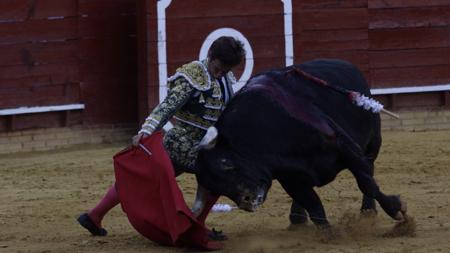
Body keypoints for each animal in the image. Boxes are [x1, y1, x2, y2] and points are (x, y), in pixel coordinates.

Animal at [192, 58, 406, 229]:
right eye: (215, 188)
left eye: (226, 163)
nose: (247, 200)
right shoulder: (290, 179)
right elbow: (314, 207)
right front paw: (329, 236)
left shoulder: (344, 145)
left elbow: (367, 183)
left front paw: (397, 210)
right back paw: (297, 217)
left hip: (372, 144)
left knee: (370, 167)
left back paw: (368, 211)